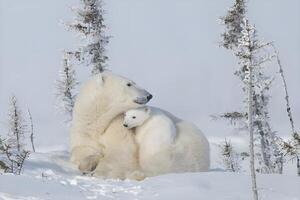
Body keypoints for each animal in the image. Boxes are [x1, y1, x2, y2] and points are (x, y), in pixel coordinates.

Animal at [70, 71, 210, 179]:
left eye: (132, 81)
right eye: (129, 84)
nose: (149, 95)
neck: (98, 121)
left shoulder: (118, 127)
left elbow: (120, 153)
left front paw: (98, 172)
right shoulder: (84, 130)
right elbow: (83, 150)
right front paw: (88, 164)